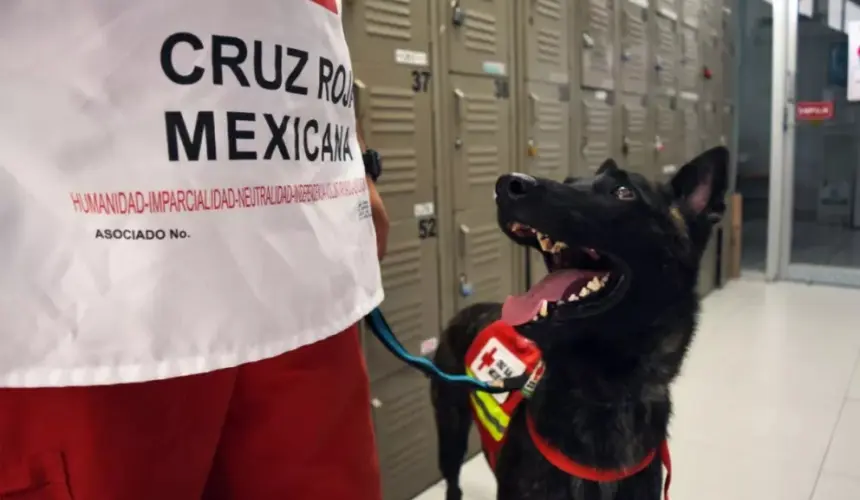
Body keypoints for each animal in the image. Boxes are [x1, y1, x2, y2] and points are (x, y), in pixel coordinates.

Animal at [430, 146, 724, 498]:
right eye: (569, 181)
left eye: (623, 192)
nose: (506, 184)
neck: (605, 395)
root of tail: (468, 310)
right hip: (451, 434)